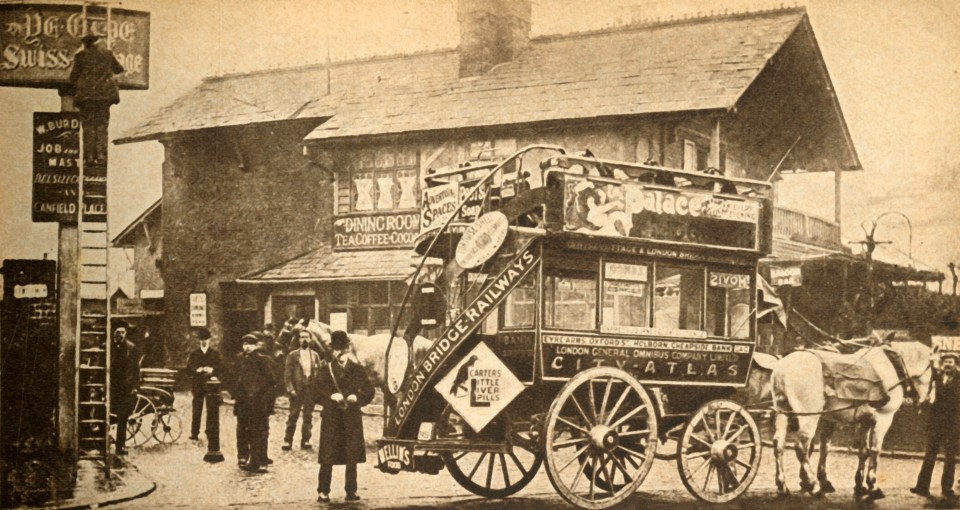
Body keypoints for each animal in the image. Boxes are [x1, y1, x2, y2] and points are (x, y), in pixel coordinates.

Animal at [764, 340, 928, 500]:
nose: (926, 403)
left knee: (778, 444)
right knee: (801, 446)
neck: (891, 365)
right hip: (809, 416)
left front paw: (860, 486)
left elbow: (863, 451)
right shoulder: (883, 419)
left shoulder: (864, 422)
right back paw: (815, 487)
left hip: (783, 410)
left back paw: (782, 487)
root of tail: (782, 367)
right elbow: (875, 451)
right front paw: (873, 486)